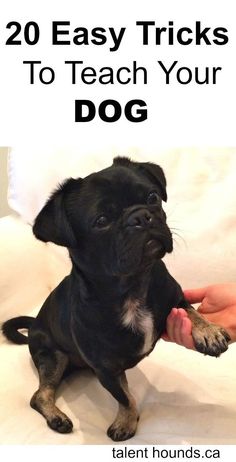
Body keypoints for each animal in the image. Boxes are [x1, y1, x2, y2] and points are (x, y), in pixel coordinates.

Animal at [1, 158, 230, 440]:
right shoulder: (107, 371)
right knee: (40, 395)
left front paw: (208, 332)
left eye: (153, 197)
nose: (140, 216)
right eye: (101, 221)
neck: (131, 287)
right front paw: (126, 422)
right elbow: (125, 397)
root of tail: (34, 323)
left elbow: (190, 310)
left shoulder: (175, 296)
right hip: (53, 356)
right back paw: (57, 417)